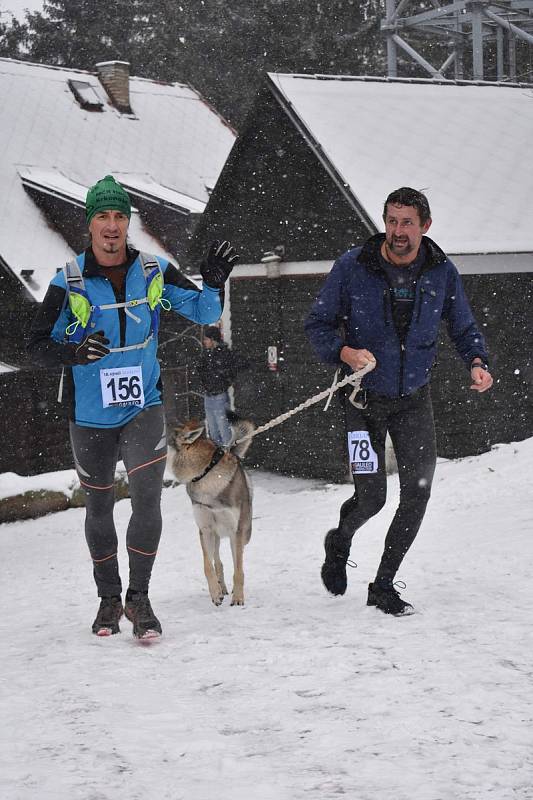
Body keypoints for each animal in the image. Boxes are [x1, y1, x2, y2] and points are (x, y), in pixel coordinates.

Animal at [168, 416, 256, 604]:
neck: (206, 473)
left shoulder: (236, 531)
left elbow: (238, 570)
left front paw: (238, 598)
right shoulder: (205, 530)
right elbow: (207, 567)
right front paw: (215, 593)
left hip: (243, 534)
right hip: (215, 535)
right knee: (218, 562)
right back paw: (221, 588)